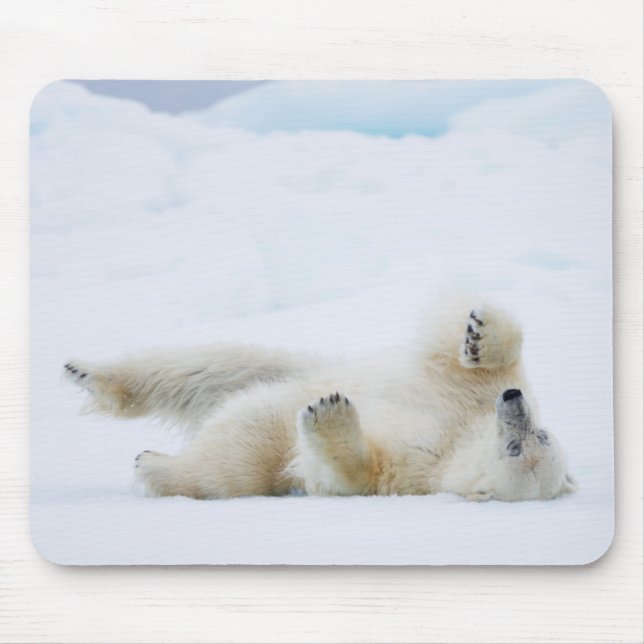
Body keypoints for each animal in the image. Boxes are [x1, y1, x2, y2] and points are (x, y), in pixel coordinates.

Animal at [63, 299, 577, 502]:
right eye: (541, 433)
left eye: (522, 446)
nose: (512, 404)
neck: (459, 437)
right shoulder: (466, 394)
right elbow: (475, 361)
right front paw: (479, 334)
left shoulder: (415, 469)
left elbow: (352, 472)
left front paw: (329, 413)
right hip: (282, 365)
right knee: (206, 367)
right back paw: (87, 374)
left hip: (259, 443)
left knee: (231, 462)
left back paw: (154, 463)